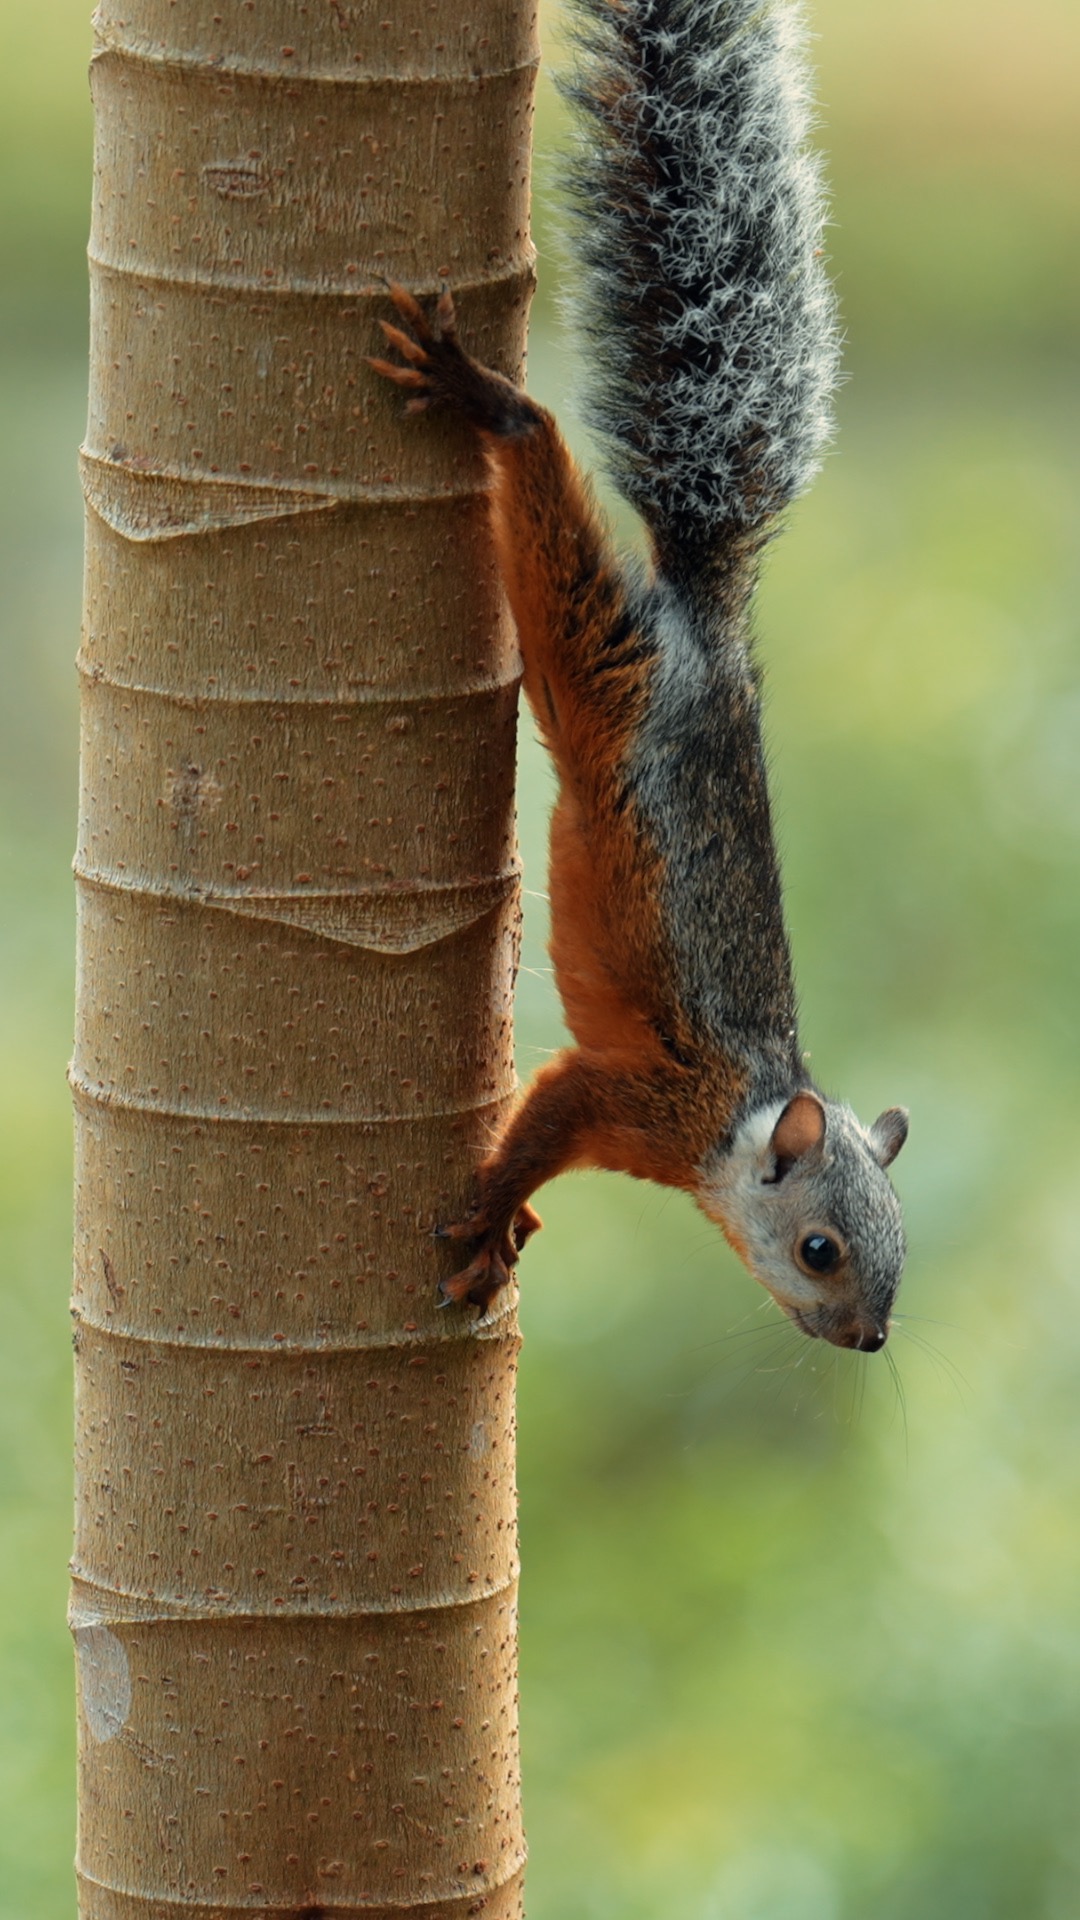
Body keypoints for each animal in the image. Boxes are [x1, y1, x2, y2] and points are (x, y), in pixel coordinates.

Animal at [370, 0, 908, 1352]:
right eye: (820, 1248)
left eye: (903, 1254)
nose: (871, 1339)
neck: (733, 1127)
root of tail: (708, 632)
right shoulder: (624, 1090)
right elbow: (541, 1117)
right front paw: (489, 1214)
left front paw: (506, 1222)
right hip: (591, 644)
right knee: (536, 468)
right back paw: (484, 397)